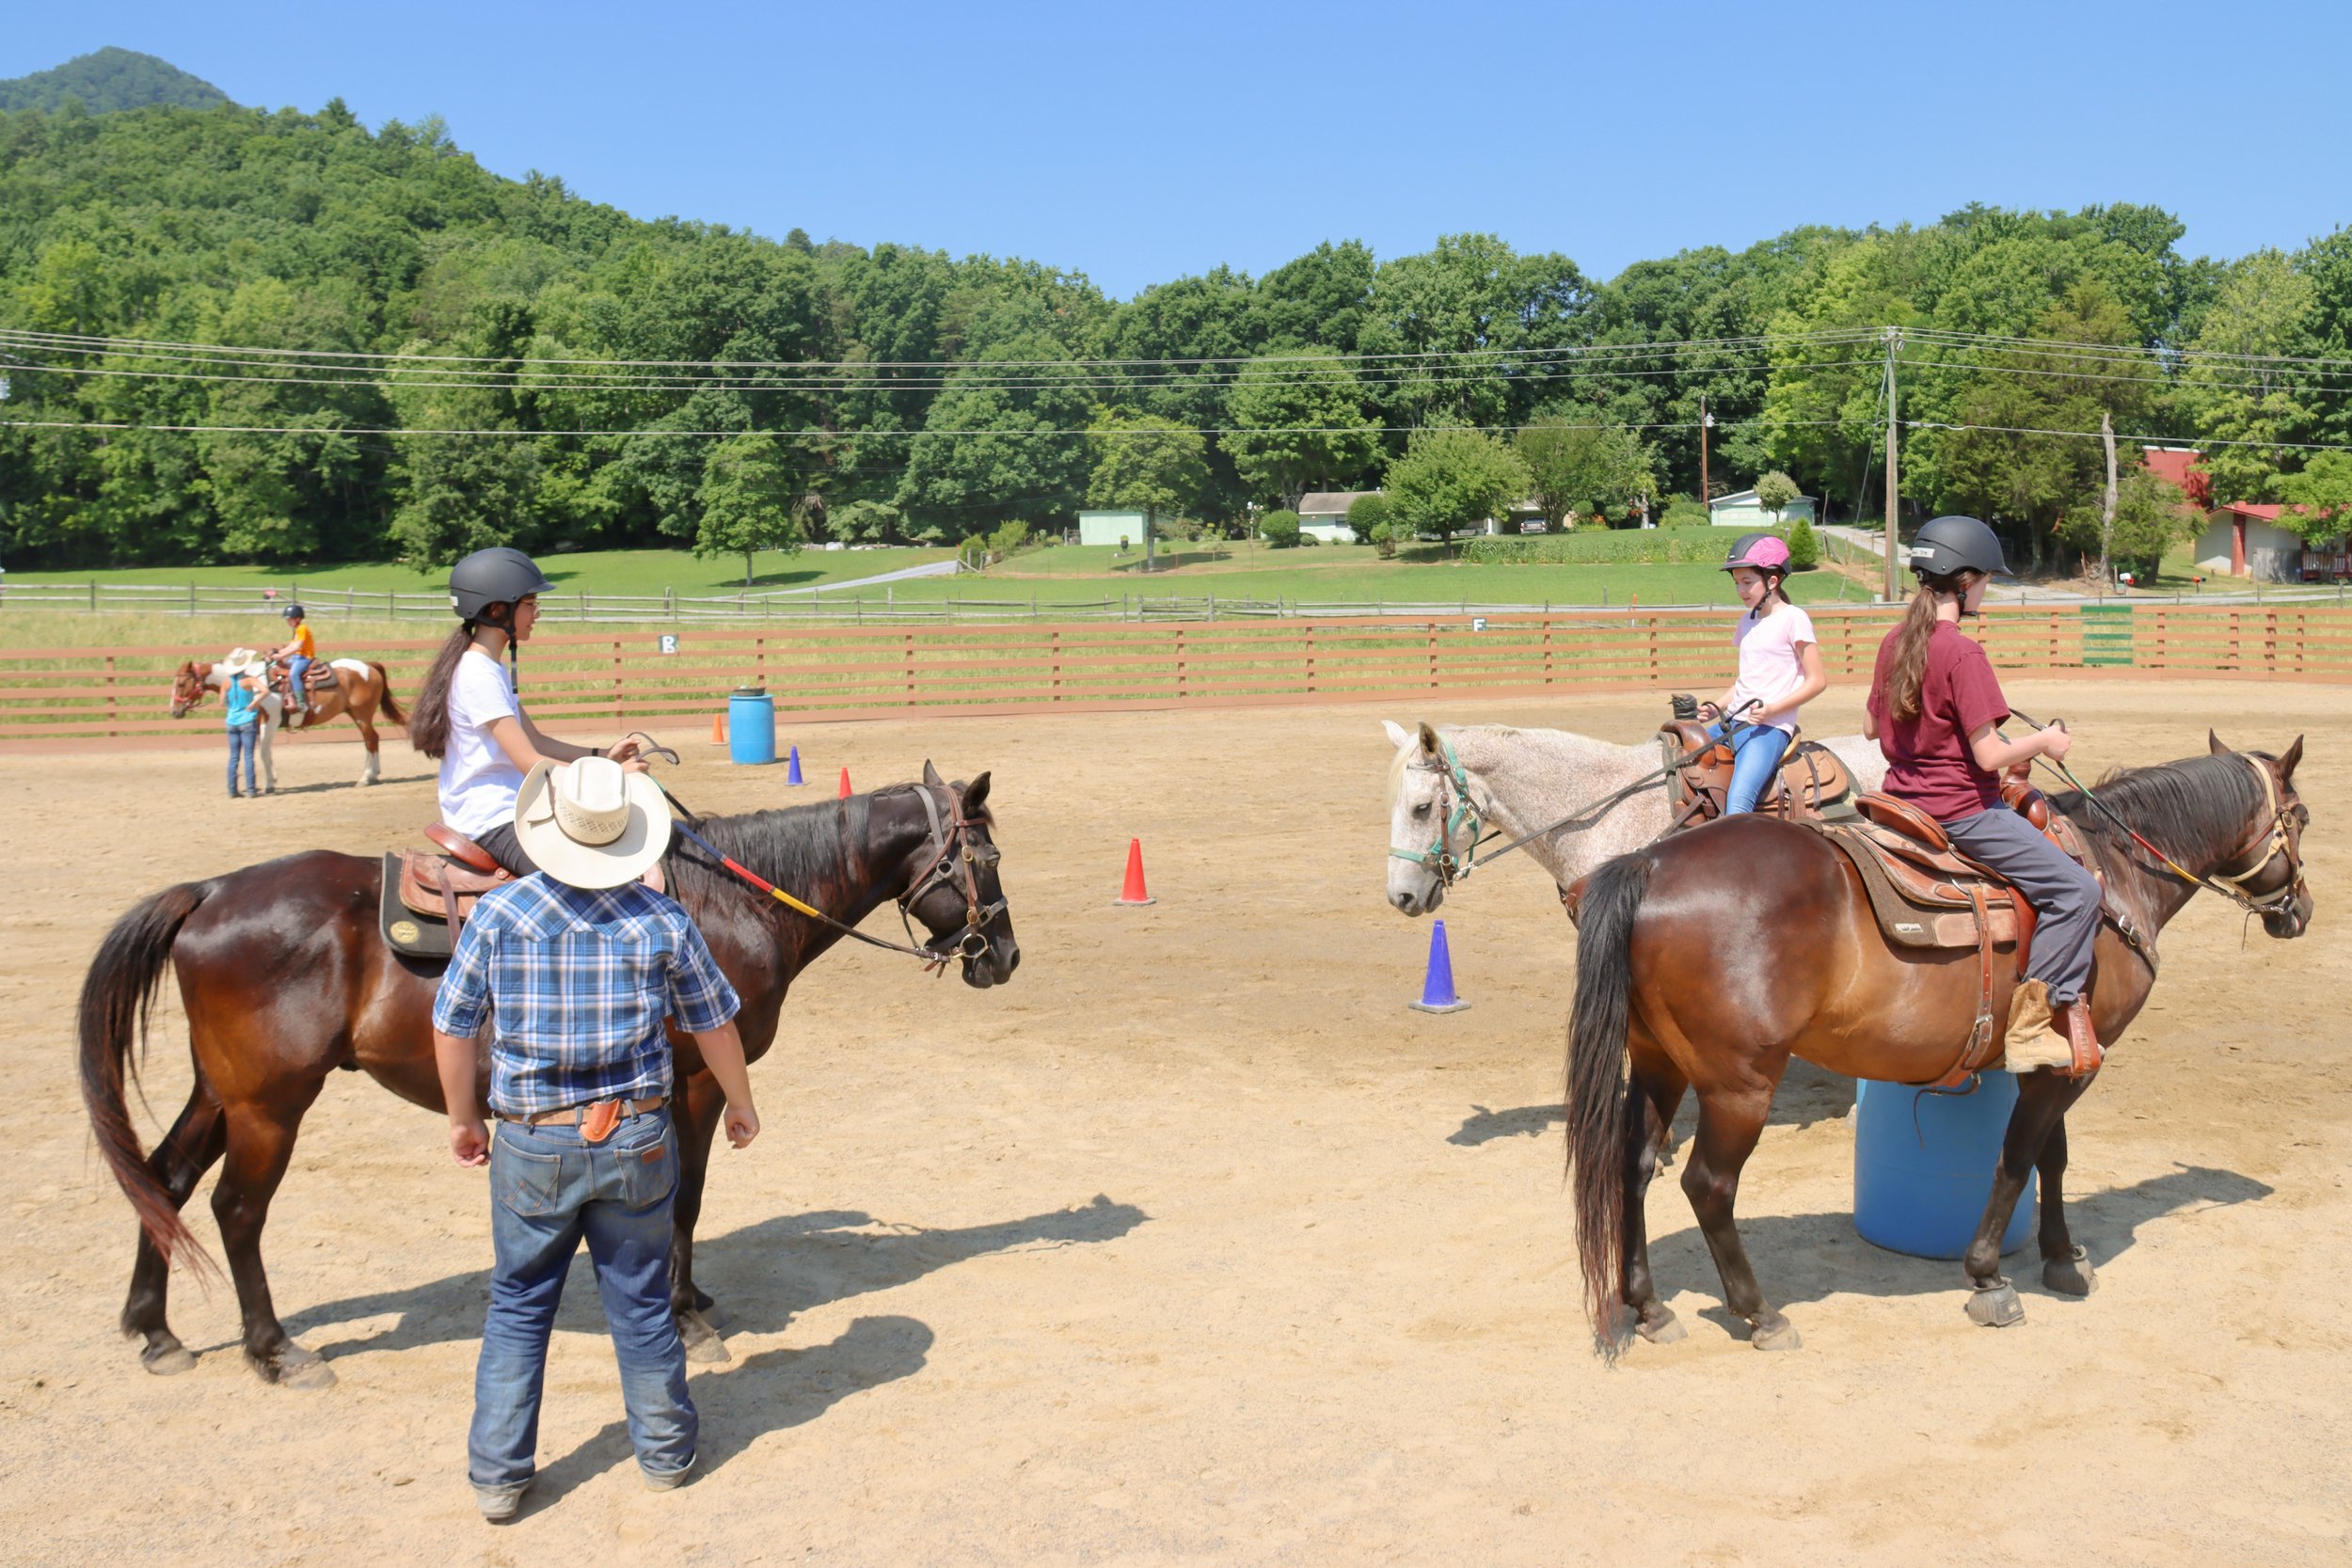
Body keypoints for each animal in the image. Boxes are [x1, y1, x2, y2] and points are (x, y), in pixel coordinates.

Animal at [77, 763, 1019, 1388]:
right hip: (271, 1104)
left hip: (220, 1093)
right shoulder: (697, 1082)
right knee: (236, 1208)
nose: (1004, 957)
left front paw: (691, 1298)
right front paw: (686, 1315)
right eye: (987, 858)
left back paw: (155, 1331)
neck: (733, 905)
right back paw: (275, 1349)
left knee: (163, 1180)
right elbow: (686, 1200)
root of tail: (210, 890)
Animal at [169, 656, 405, 786]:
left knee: (370, 740)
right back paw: (373, 775)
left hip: (362, 715)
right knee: (372, 740)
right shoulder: (259, 723)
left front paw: (270, 783)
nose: (174, 711)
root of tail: (369, 666)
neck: (253, 681)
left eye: (181, 684)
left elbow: (264, 751)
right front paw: (270, 779)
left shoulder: (271, 720)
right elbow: (264, 752)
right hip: (357, 715)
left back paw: (365, 778)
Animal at [1562, 734, 2309, 1353]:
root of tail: (1648, 862)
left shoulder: (2055, 1058)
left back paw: (1650, 1306)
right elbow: (2018, 1158)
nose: (2299, 911)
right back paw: (1761, 1314)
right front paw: (1988, 1277)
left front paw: (2063, 1257)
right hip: (1738, 1084)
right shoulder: (2072, 1066)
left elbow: (2053, 1159)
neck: (2112, 874)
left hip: (1659, 1064)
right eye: (2300, 816)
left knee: (1633, 1166)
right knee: (1709, 1185)